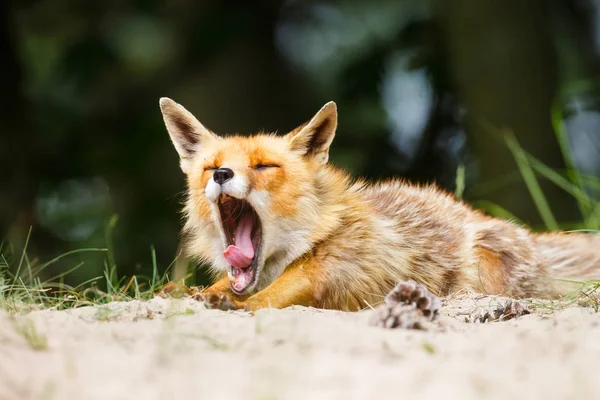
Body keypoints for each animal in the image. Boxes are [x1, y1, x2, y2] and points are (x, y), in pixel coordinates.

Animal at [159, 97, 600, 312]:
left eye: (265, 165)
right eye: (211, 167)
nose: (221, 175)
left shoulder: (339, 269)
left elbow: (275, 295)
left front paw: (236, 302)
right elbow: (222, 286)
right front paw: (193, 293)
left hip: (487, 262)